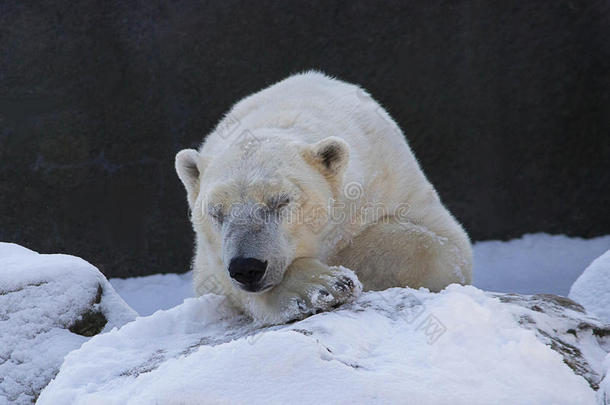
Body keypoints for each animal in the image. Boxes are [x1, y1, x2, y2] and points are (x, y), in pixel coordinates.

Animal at [175, 71, 470, 324]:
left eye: (281, 201)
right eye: (216, 212)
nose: (247, 267)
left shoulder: (396, 180)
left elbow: (445, 248)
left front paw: (340, 270)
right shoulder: (210, 259)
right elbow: (218, 279)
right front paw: (321, 286)